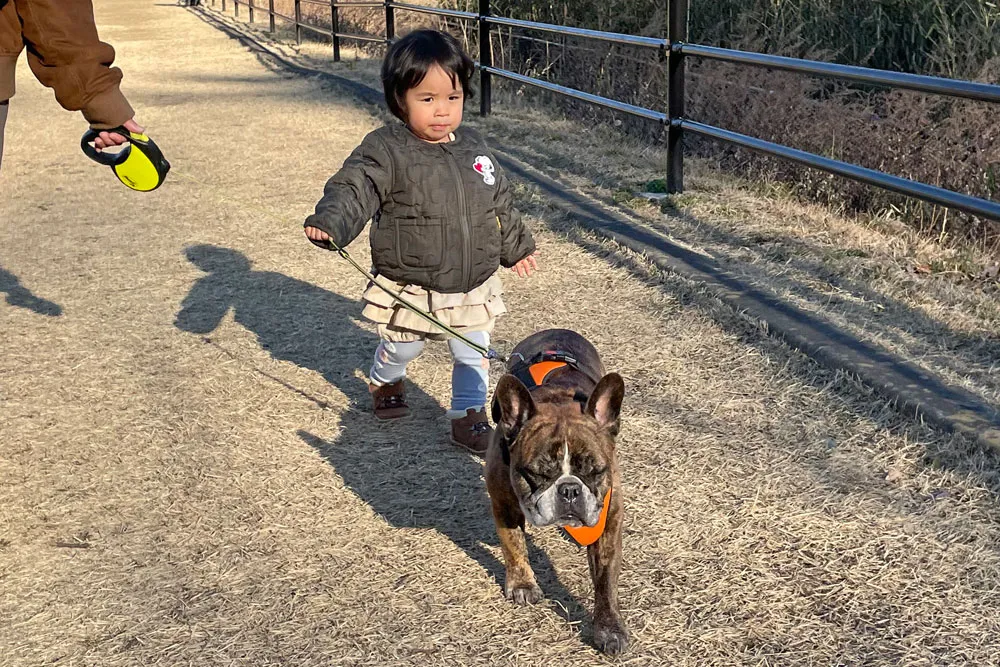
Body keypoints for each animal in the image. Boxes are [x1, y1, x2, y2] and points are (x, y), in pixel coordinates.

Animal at [484, 328, 624, 652]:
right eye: (537, 473)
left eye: (595, 471)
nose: (569, 490)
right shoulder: (504, 503)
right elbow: (514, 545)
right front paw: (522, 584)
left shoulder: (609, 518)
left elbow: (605, 578)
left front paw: (609, 627)